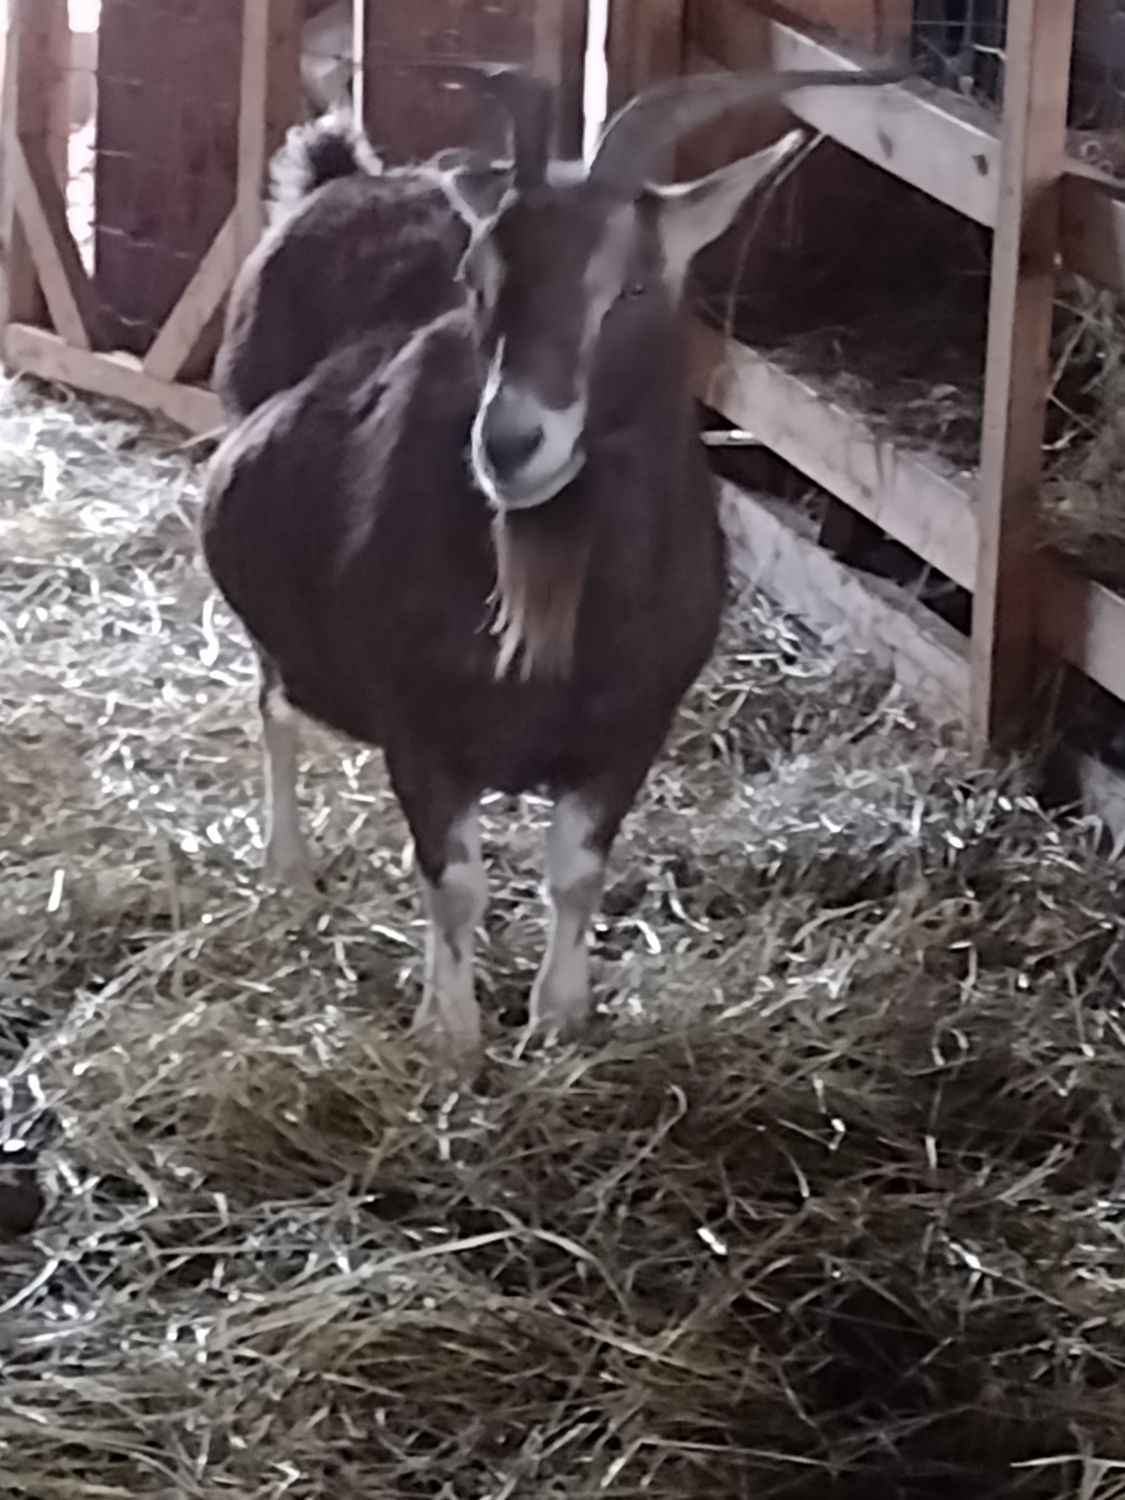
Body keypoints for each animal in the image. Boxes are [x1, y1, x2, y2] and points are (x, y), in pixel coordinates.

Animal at [202, 67, 898, 1057]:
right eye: (476, 278)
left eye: (635, 283)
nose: (510, 446)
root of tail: (343, 181)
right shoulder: (420, 729)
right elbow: (455, 882)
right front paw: (449, 1035)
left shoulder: (630, 731)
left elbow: (574, 874)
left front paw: (560, 1018)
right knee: (276, 705)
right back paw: (289, 868)